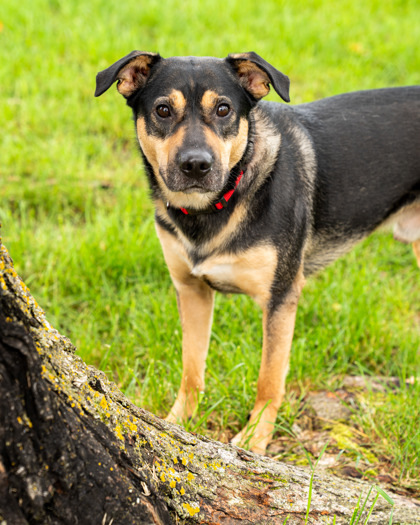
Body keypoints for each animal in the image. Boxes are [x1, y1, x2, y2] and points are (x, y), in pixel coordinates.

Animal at [95, 52, 420, 454]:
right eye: (162, 110)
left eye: (223, 109)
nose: (196, 165)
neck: (217, 204)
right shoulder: (191, 289)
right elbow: (191, 368)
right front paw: (175, 423)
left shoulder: (281, 297)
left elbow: (269, 378)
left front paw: (254, 439)